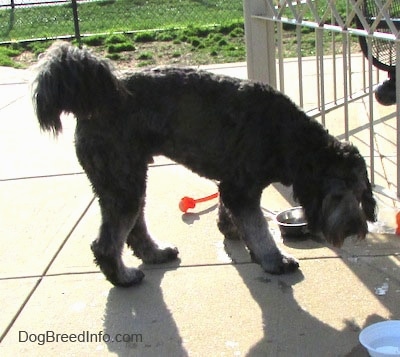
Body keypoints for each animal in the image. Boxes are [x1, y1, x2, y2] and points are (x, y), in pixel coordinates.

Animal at [32, 42, 376, 286]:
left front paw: (230, 229)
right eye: (336, 196)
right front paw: (273, 260)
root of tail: (97, 100)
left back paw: (155, 254)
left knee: (133, 229)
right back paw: (123, 277)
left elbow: (232, 213)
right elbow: (259, 229)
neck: (288, 135)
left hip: (129, 178)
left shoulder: (233, 184)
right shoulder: (241, 188)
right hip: (122, 182)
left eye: (360, 193)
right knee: (106, 243)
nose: (354, 228)